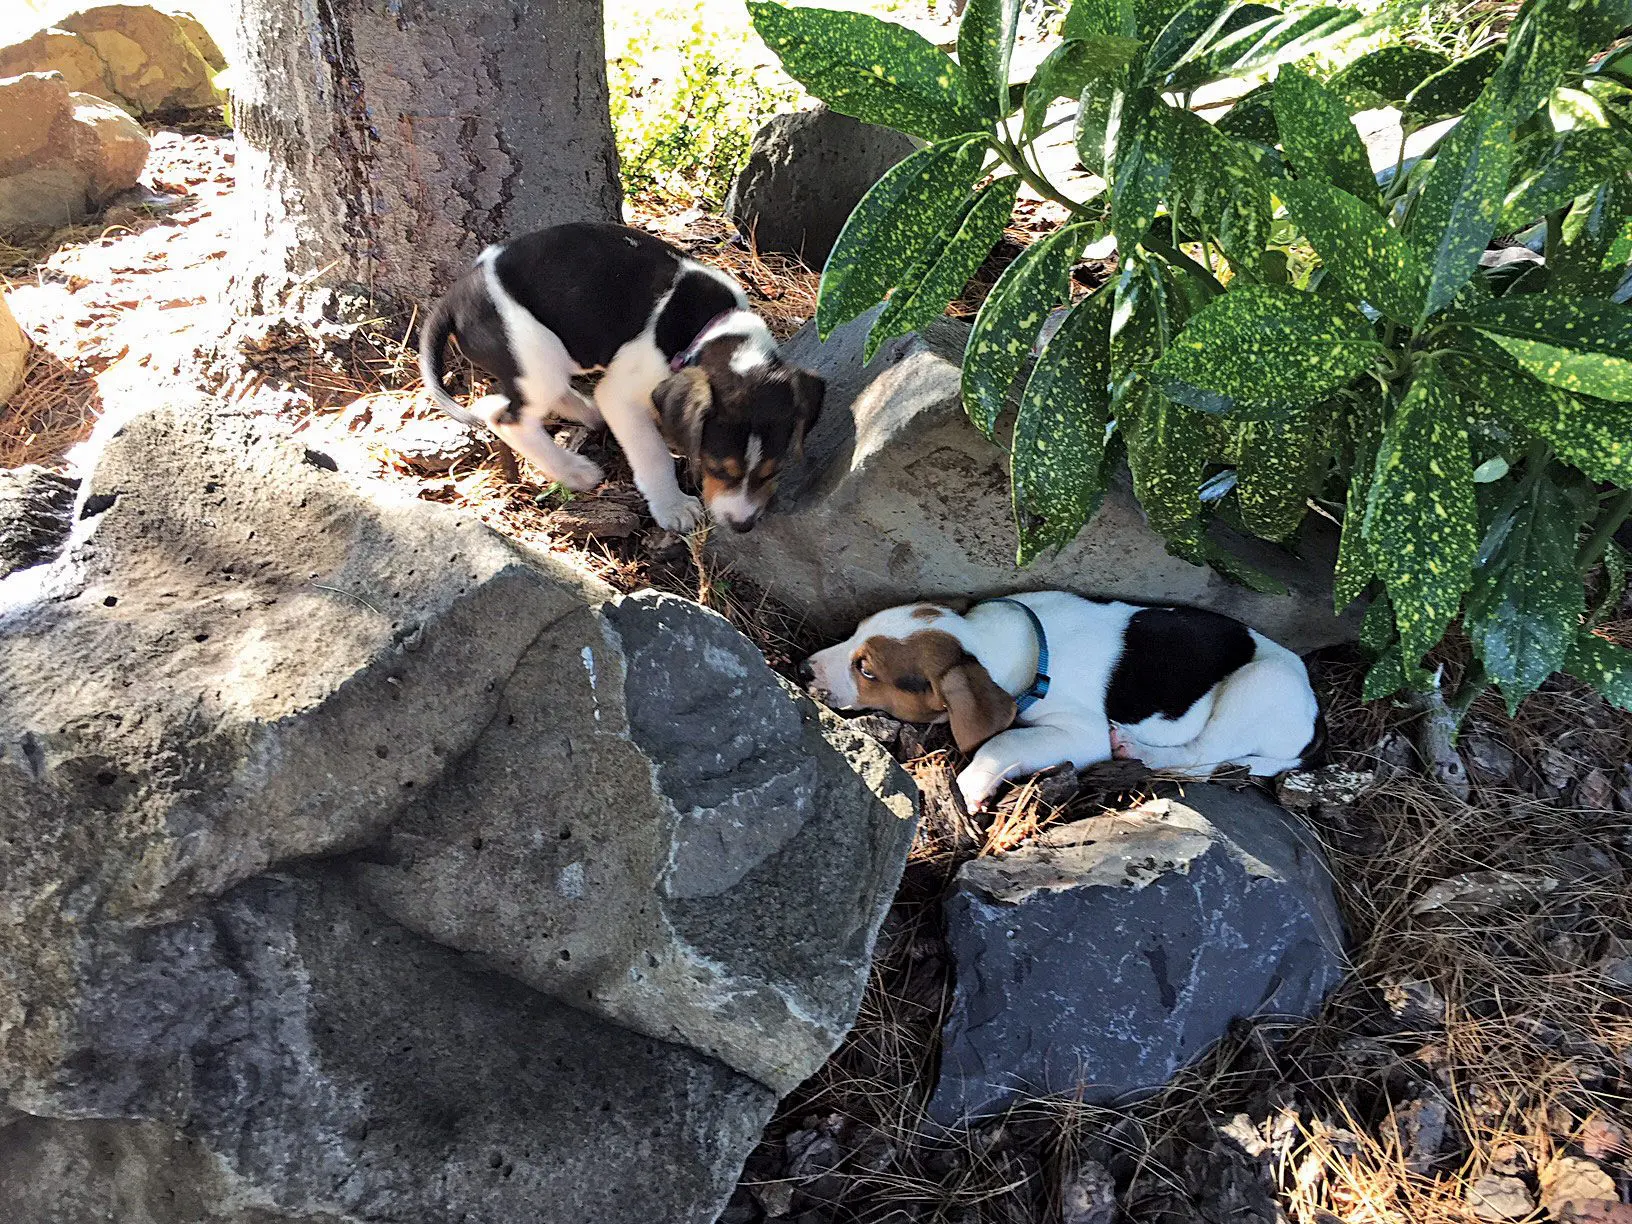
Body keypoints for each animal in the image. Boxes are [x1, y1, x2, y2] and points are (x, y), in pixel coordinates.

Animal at [417, 223, 822, 528]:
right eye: (716, 468)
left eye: (772, 471)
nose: (743, 525)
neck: (711, 329)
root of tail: (454, 297)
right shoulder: (621, 397)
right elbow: (653, 455)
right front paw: (673, 506)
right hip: (533, 354)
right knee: (507, 417)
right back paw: (572, 470)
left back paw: (584, 412)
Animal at [802, 590, 1325, 816]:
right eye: (852, 634)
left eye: (867, 670)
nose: (804, 669)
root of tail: (1314, 715)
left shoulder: (1080, 732)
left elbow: (1003, 741)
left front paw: (970, 784)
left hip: (1259, 686)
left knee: (1202, 759)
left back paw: (1136, 749)